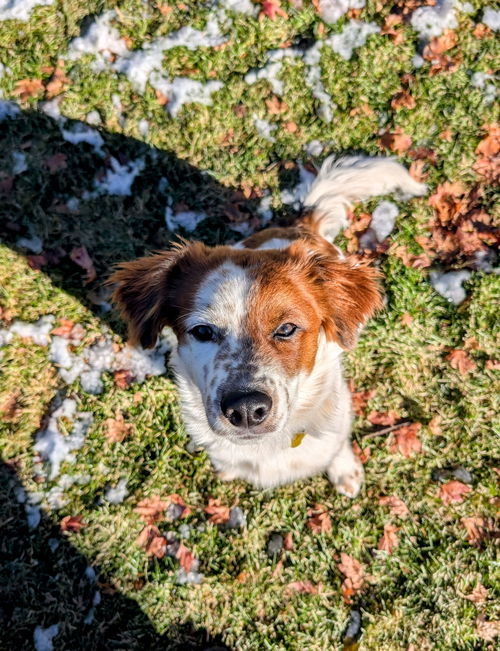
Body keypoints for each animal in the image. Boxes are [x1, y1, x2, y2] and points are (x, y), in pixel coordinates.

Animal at [110, 155, 426, 496]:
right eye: (203, 332)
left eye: (286, 329)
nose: (246, 409)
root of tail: (299, 228)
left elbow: (337, 445)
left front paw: (344, 470)